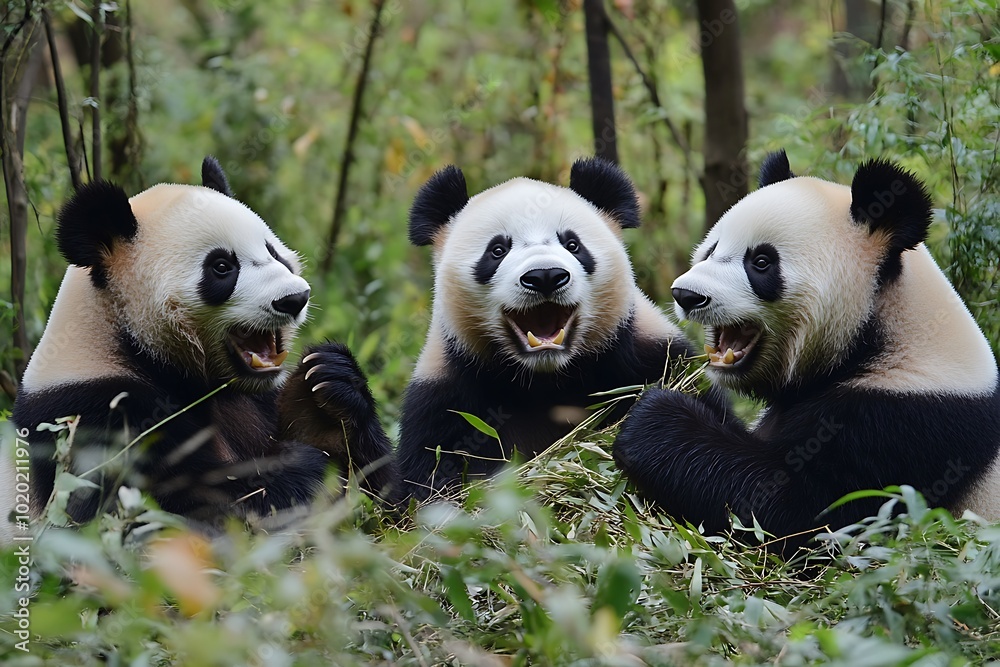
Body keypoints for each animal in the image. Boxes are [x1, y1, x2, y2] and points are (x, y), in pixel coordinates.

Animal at [3, 157, 394, 538]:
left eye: (273, 252)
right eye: (222, 266)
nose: (294, 298)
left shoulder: (255, 400)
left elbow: (392, 495)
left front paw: (327, 393)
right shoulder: (93, 413)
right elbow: (132, 508)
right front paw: (304, 467)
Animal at [397, 157, 697, 501]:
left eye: (573, 244)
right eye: (497, 250)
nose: (544, 276)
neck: (548, 377)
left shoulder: (652, 355)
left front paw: (654, 424)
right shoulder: (443, 399)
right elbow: (427, 481)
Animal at [613, 150, 1000, 552]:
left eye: (761, 262)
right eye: (712, 249)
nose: (686, 295)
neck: (881, 334)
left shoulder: (910, 425)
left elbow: (803, 512)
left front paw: (654, 417)